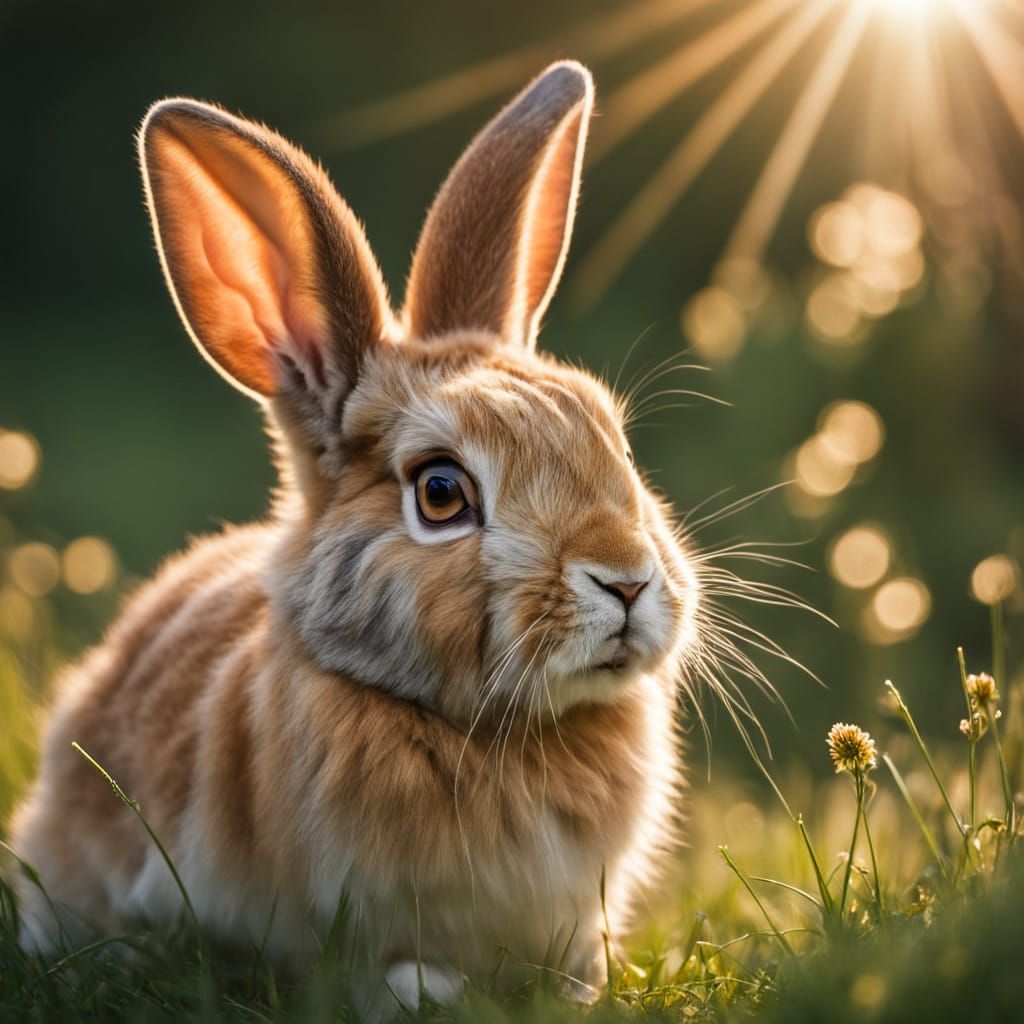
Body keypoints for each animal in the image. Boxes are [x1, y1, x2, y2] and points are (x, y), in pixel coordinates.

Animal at [9, 60, 699, 1018]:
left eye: (617, 446)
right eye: (441, 493)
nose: (627, 581)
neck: (495, 733)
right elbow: (392, 973)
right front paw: (430, 993)